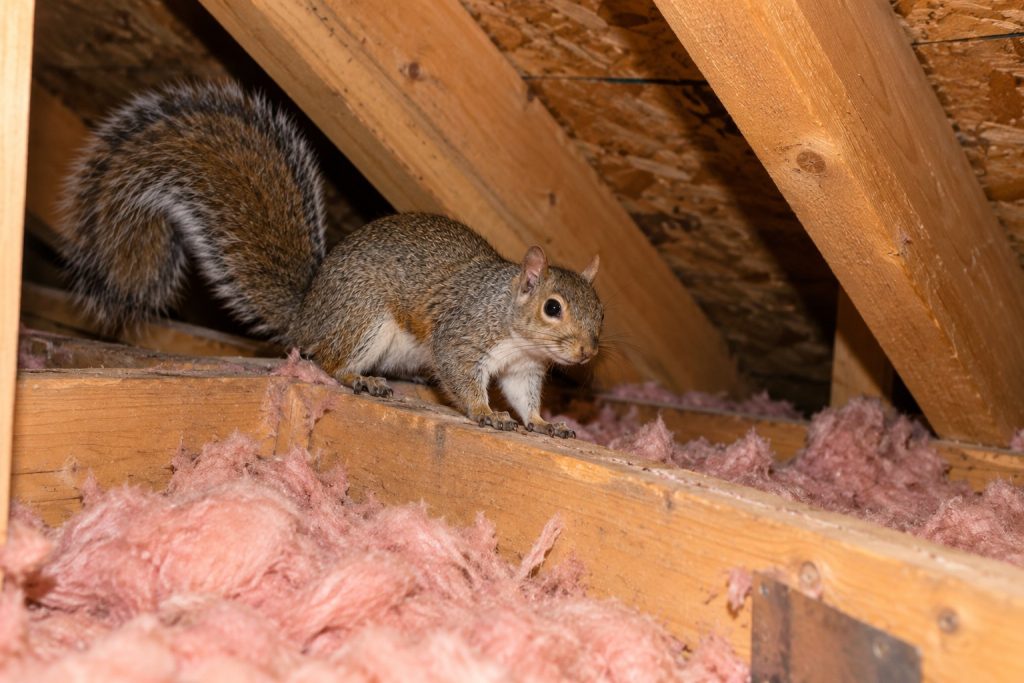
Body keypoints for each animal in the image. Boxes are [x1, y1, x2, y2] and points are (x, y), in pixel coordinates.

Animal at [57, 82, 604, 438]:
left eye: (601, 312)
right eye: (552, 307)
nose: (586, 352)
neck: (510, 318)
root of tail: (307, 314)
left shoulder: (522, 369)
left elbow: (525, 398)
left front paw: (543, 423)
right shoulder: (464, 335)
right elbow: (459, 375)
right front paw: (486, 413)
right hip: (363, 316)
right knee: (329, 360)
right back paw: (360, 378)